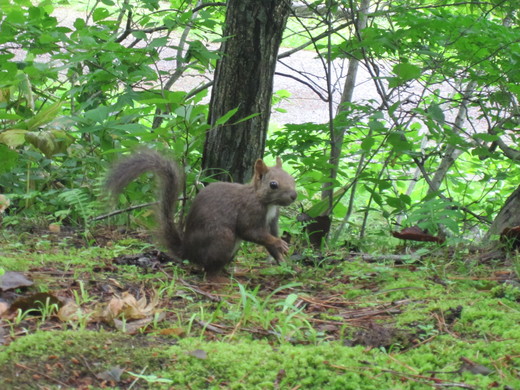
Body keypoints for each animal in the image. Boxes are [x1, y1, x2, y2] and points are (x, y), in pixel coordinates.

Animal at [105, 149, 296, 274]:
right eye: (273, 184)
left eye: (292, 178)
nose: (294, 196)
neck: (266, 203)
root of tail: (187, 252)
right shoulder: (248, 212)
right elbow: (252, 233)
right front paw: (280, 243)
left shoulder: (272, 220)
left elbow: (270, 243)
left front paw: (284, 262)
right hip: (222, 238)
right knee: (208, 267)